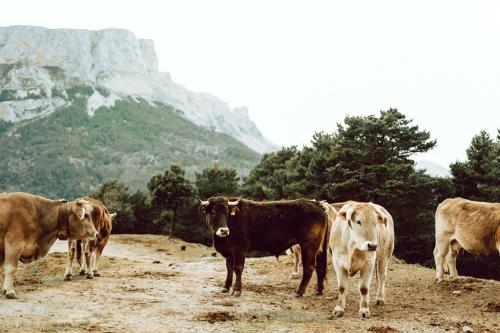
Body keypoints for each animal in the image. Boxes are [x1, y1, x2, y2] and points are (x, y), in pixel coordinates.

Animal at [197, 195, 330, 296]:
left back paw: (299, 291)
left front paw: (237, 290)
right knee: (320, 266)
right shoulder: (230, 252)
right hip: (318, 247)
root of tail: (317, 204)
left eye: (227, 213)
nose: (224, 231)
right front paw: (226, 287)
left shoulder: (239, 249)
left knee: (309, 267)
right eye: (213, 212)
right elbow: (229, 269)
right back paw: (318, 290)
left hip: (309, 245)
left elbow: (238, 268)